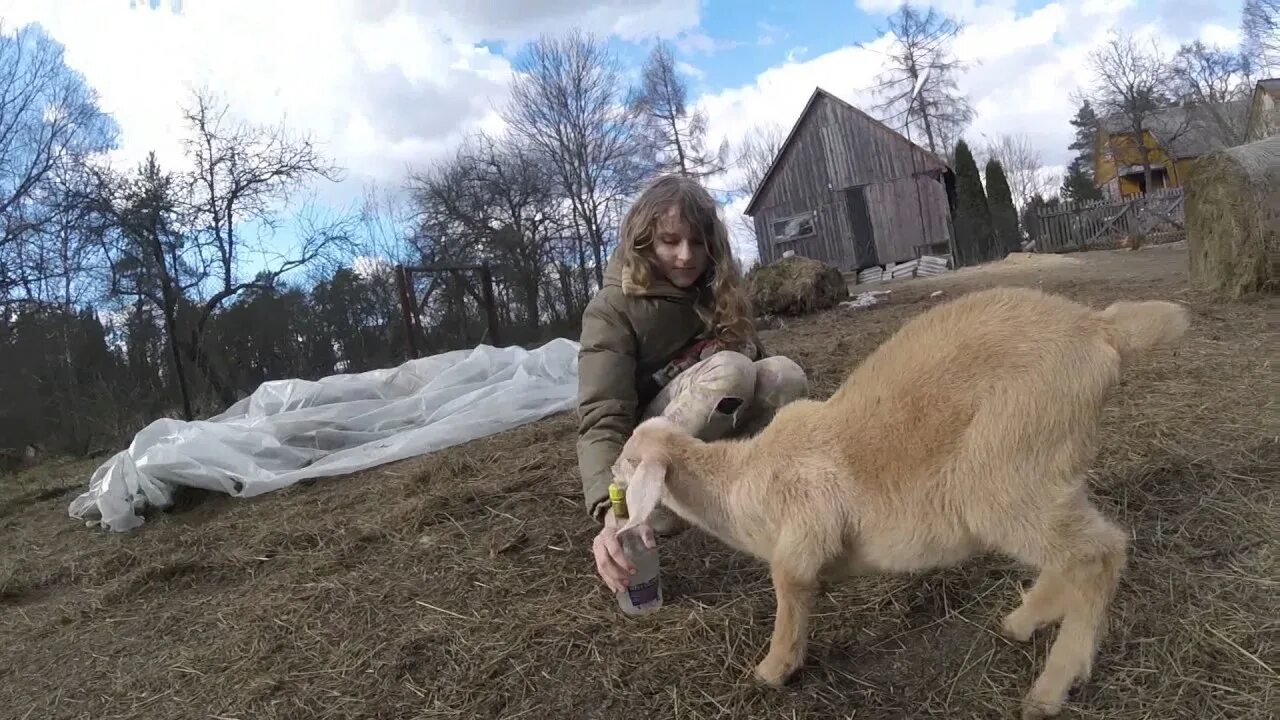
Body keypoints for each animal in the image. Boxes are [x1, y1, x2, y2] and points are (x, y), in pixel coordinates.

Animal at [609, 284, 1187, 717]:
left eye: (630, 460)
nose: (608, 490)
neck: (742, 483)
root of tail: (1100, 328)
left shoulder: (802, 533)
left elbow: (791, 595)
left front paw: (772, 671)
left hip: (1009, 465)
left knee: (1098, 554)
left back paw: (1050, 689)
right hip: (1051, 468)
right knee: (1077, 550)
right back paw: (1023, 622)